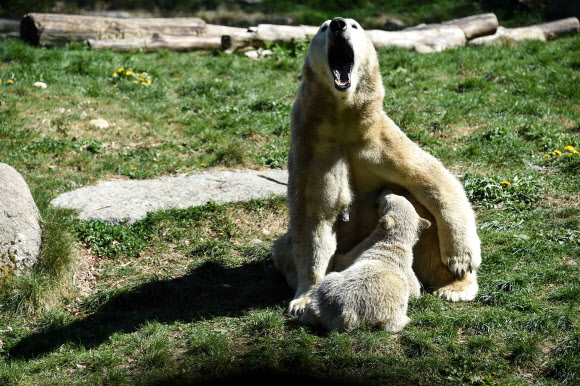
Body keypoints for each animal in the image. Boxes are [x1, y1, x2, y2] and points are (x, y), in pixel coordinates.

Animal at [272, 16, 480, 316]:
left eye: (354, 25)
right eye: (323, 27)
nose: (337, 24)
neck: (344, 118)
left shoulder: (380, 141)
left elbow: (434, 180)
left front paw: (462, 260)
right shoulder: (313, 148)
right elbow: (315, 216)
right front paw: (303, 300)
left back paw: (454, 288)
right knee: (283, 248)